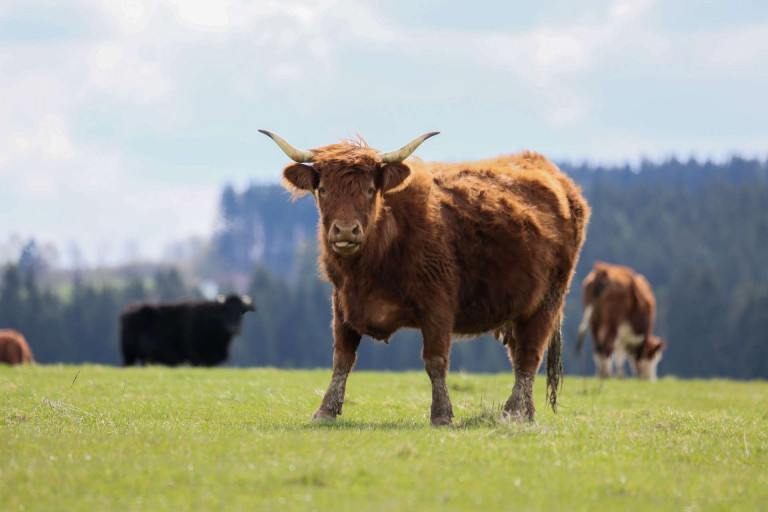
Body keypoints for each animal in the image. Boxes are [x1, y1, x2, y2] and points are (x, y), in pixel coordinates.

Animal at [120, 294, 256, 366]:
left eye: (241, 311)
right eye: (225, 310)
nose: (233, 328)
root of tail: (128, 310)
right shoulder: (195, 357)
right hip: (128, 355)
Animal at [260, 130, 592, 426]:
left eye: (369, 189)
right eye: (323, 190)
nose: (345, 231)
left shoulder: (438, 302)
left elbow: (435, 360)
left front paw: (441, 415)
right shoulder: (341, 301)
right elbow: (342, 358)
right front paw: (325, 411)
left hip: (548, 300)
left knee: (529, 357)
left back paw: (511, 413)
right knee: (519, 356)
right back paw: (528, 414)